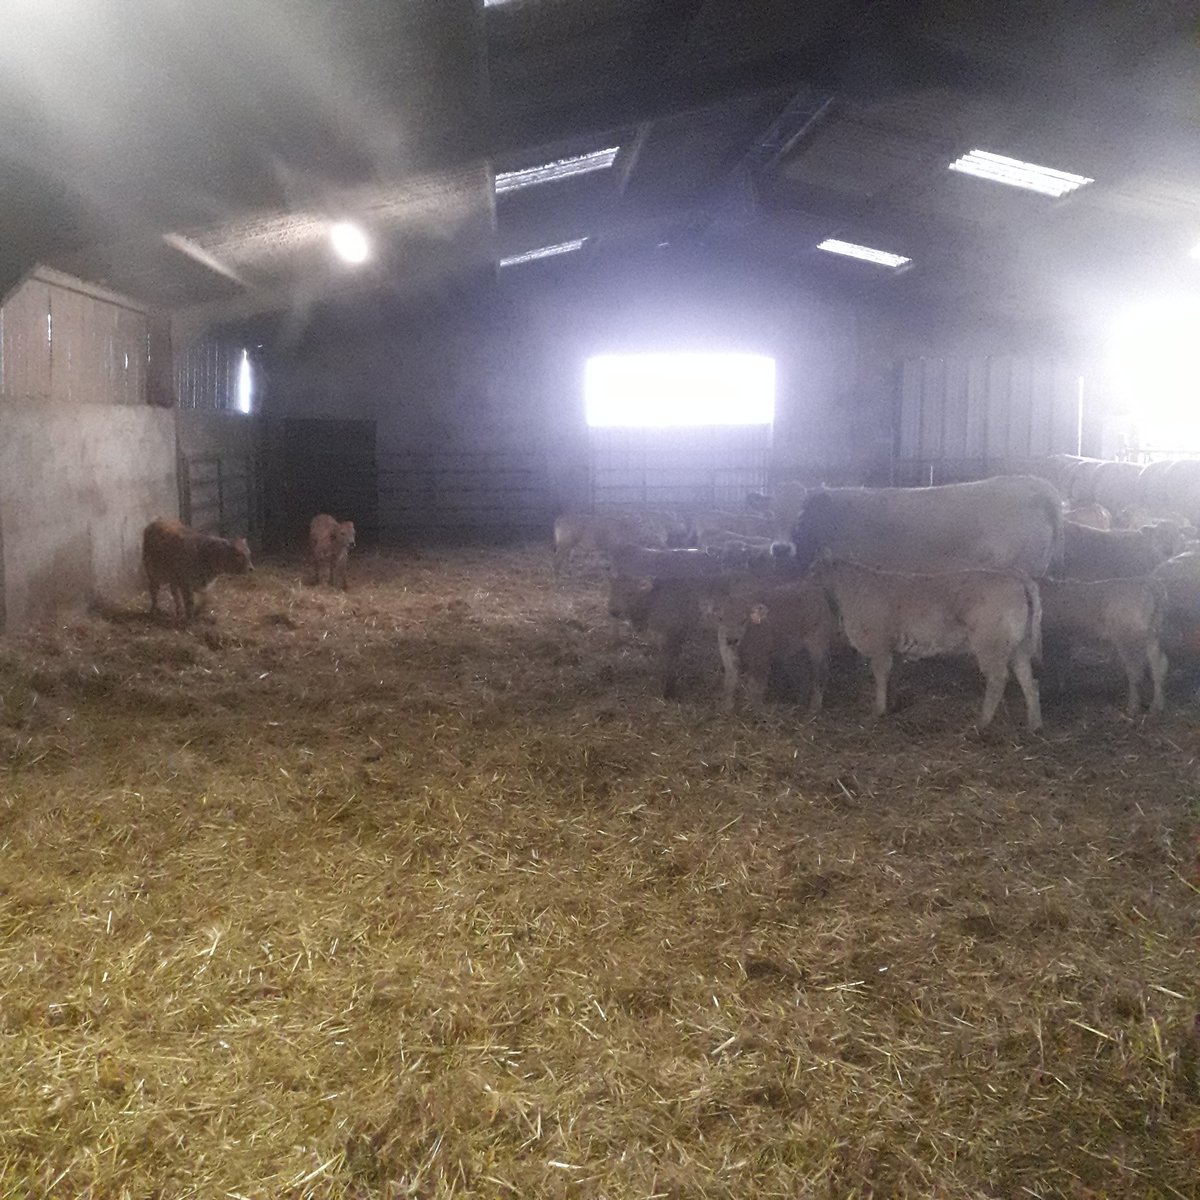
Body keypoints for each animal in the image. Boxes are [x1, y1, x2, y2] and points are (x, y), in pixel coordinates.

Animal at [713, 580, 835, 714]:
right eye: (720, 618)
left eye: (744, 620)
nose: (731, 640)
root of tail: (818, 590)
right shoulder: (728, 656)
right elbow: (730, 683)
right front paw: (727, 707)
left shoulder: (761, 658)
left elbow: (756, 686)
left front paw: (756, 709)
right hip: (797, 650)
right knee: (804, 673)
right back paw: (800, 701)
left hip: (818, 642)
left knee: (821, 672)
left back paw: (814, 706)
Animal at [809, 559, 1042, 731]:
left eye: (814, 571)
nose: (804, 579)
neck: (852, 592)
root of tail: (1015, 575)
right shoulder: (895, 648)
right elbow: (893, 676)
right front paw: (892, 705)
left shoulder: (879, 645)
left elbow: (881, 675)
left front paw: (878, 710)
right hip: (1019, 645)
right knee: (1029, 681)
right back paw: (1034, 725)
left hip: (990, 643)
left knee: (998, 678)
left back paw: (982, 722)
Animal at [1039, 578, 1168, 715]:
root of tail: (1148, 584)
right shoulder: (1062, 641)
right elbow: (1061, 664)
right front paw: (1062, 688)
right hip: (1151, 636)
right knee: (1158, 665)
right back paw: (1157, 705)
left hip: (1127, 639)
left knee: (1135, 670)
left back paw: (1133, 706)